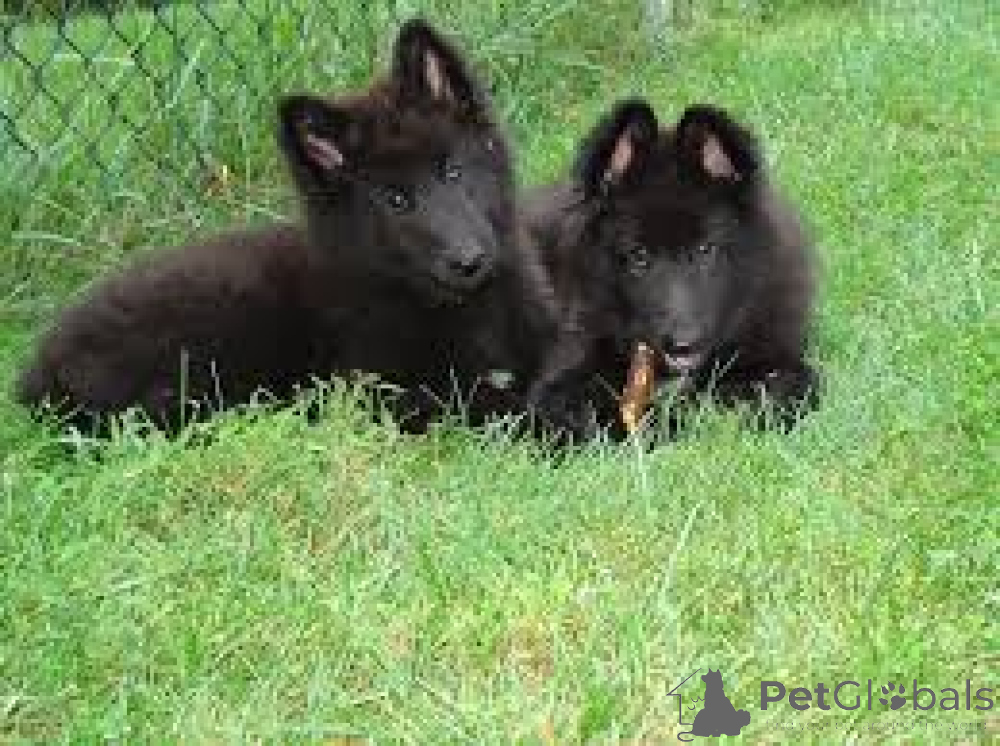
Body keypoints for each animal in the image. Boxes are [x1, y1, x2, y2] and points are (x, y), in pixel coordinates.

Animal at [17, 19, 558, 435]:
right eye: (396, 201)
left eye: (452, 172)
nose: (469, 261)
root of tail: (40, 366)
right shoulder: (384, 391)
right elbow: (494, 407)